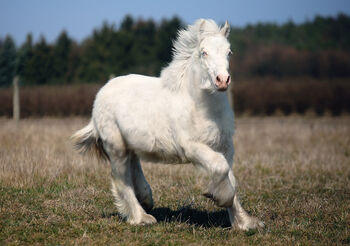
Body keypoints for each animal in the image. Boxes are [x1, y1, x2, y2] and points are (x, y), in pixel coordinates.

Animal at [72, 19, 262, 231]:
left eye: (229, 52)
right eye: (203, 52)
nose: (222, 80)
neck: (200, 106)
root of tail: (101, 93)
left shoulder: (225, 147)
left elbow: (231, 179)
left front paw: (245, 223)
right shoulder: (191, 147)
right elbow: (219, 167)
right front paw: (217, 197)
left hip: (130, 144)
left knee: (134, 165)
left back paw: (146, 199)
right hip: (116, 147)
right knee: (121, 180)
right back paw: (141, 217)